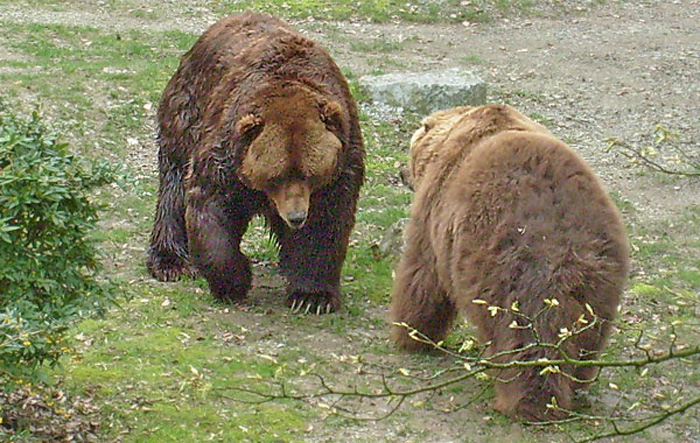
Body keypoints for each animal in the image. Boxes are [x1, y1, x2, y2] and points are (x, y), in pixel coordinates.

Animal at [148, 12, 366, 314]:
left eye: (310, 175)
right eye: (276, 176)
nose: (296, 217)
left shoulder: (341, 161)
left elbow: (325, 222)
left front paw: (312, 296)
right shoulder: (226, 153)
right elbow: (210, 204)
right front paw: (234, 281)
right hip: (187, 112)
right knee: (174, 188)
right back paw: (171, 262)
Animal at [392, 106, 632, 422]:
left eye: (410, 149)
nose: (401, 172)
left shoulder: (436, 207)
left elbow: (422, 276)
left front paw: (411, 335)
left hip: (508, 268)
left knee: (525, 340)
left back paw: (528, 401)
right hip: (600, 274)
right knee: (589, 335)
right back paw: (577, 384)